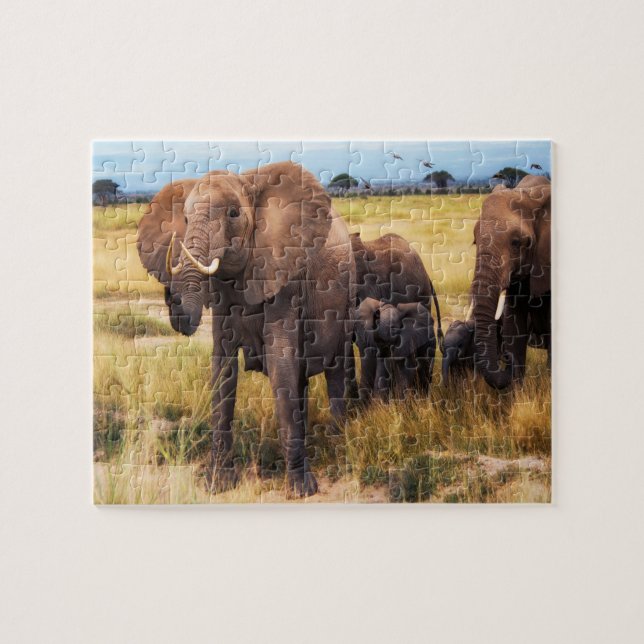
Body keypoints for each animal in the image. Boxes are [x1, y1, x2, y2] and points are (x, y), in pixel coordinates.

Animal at [136, 162, 356, 497]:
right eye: (184, 219)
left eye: (233, 214)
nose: (169, 292)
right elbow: (222, 369)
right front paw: (217, 484)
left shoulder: (285, 276)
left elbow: (280, 364)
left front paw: (302, 489)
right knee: (301, 379)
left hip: (347, 298)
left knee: (336, 371)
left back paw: (338, 441)